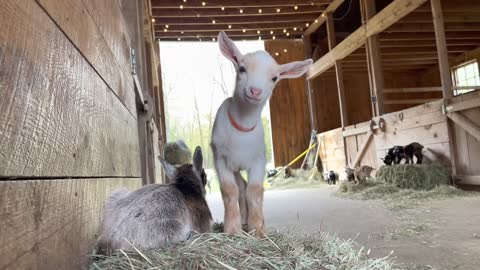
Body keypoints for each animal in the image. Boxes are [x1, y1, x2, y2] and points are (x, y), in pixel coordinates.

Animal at [212, 30, 314, 235]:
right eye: (242, 68)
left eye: (274, 78)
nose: (255, 90)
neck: (242, 128)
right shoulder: (221, 159)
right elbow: (230, 190)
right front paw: (232, 229)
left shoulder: (259, 160)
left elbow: (255, 190)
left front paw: (258, 229)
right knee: (239, 186)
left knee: (245, 187)